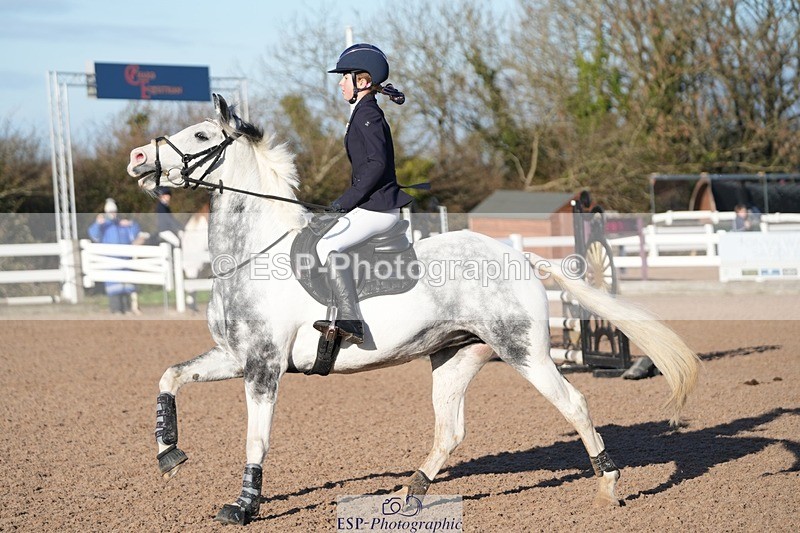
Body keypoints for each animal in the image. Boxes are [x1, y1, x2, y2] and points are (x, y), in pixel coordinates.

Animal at [127, 94, 699, 525]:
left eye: (202, 137)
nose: (136, 159)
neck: (254, 254)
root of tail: (519, 255)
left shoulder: (264, 366)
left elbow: (256, 436)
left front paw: (243, 506)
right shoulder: (235, 357)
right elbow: (169, 375)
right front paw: (168, 454)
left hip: (524, 351)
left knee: (574, 404)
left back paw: (607, 488)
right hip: (456, 356)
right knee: (450, 430)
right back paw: (410, 494)